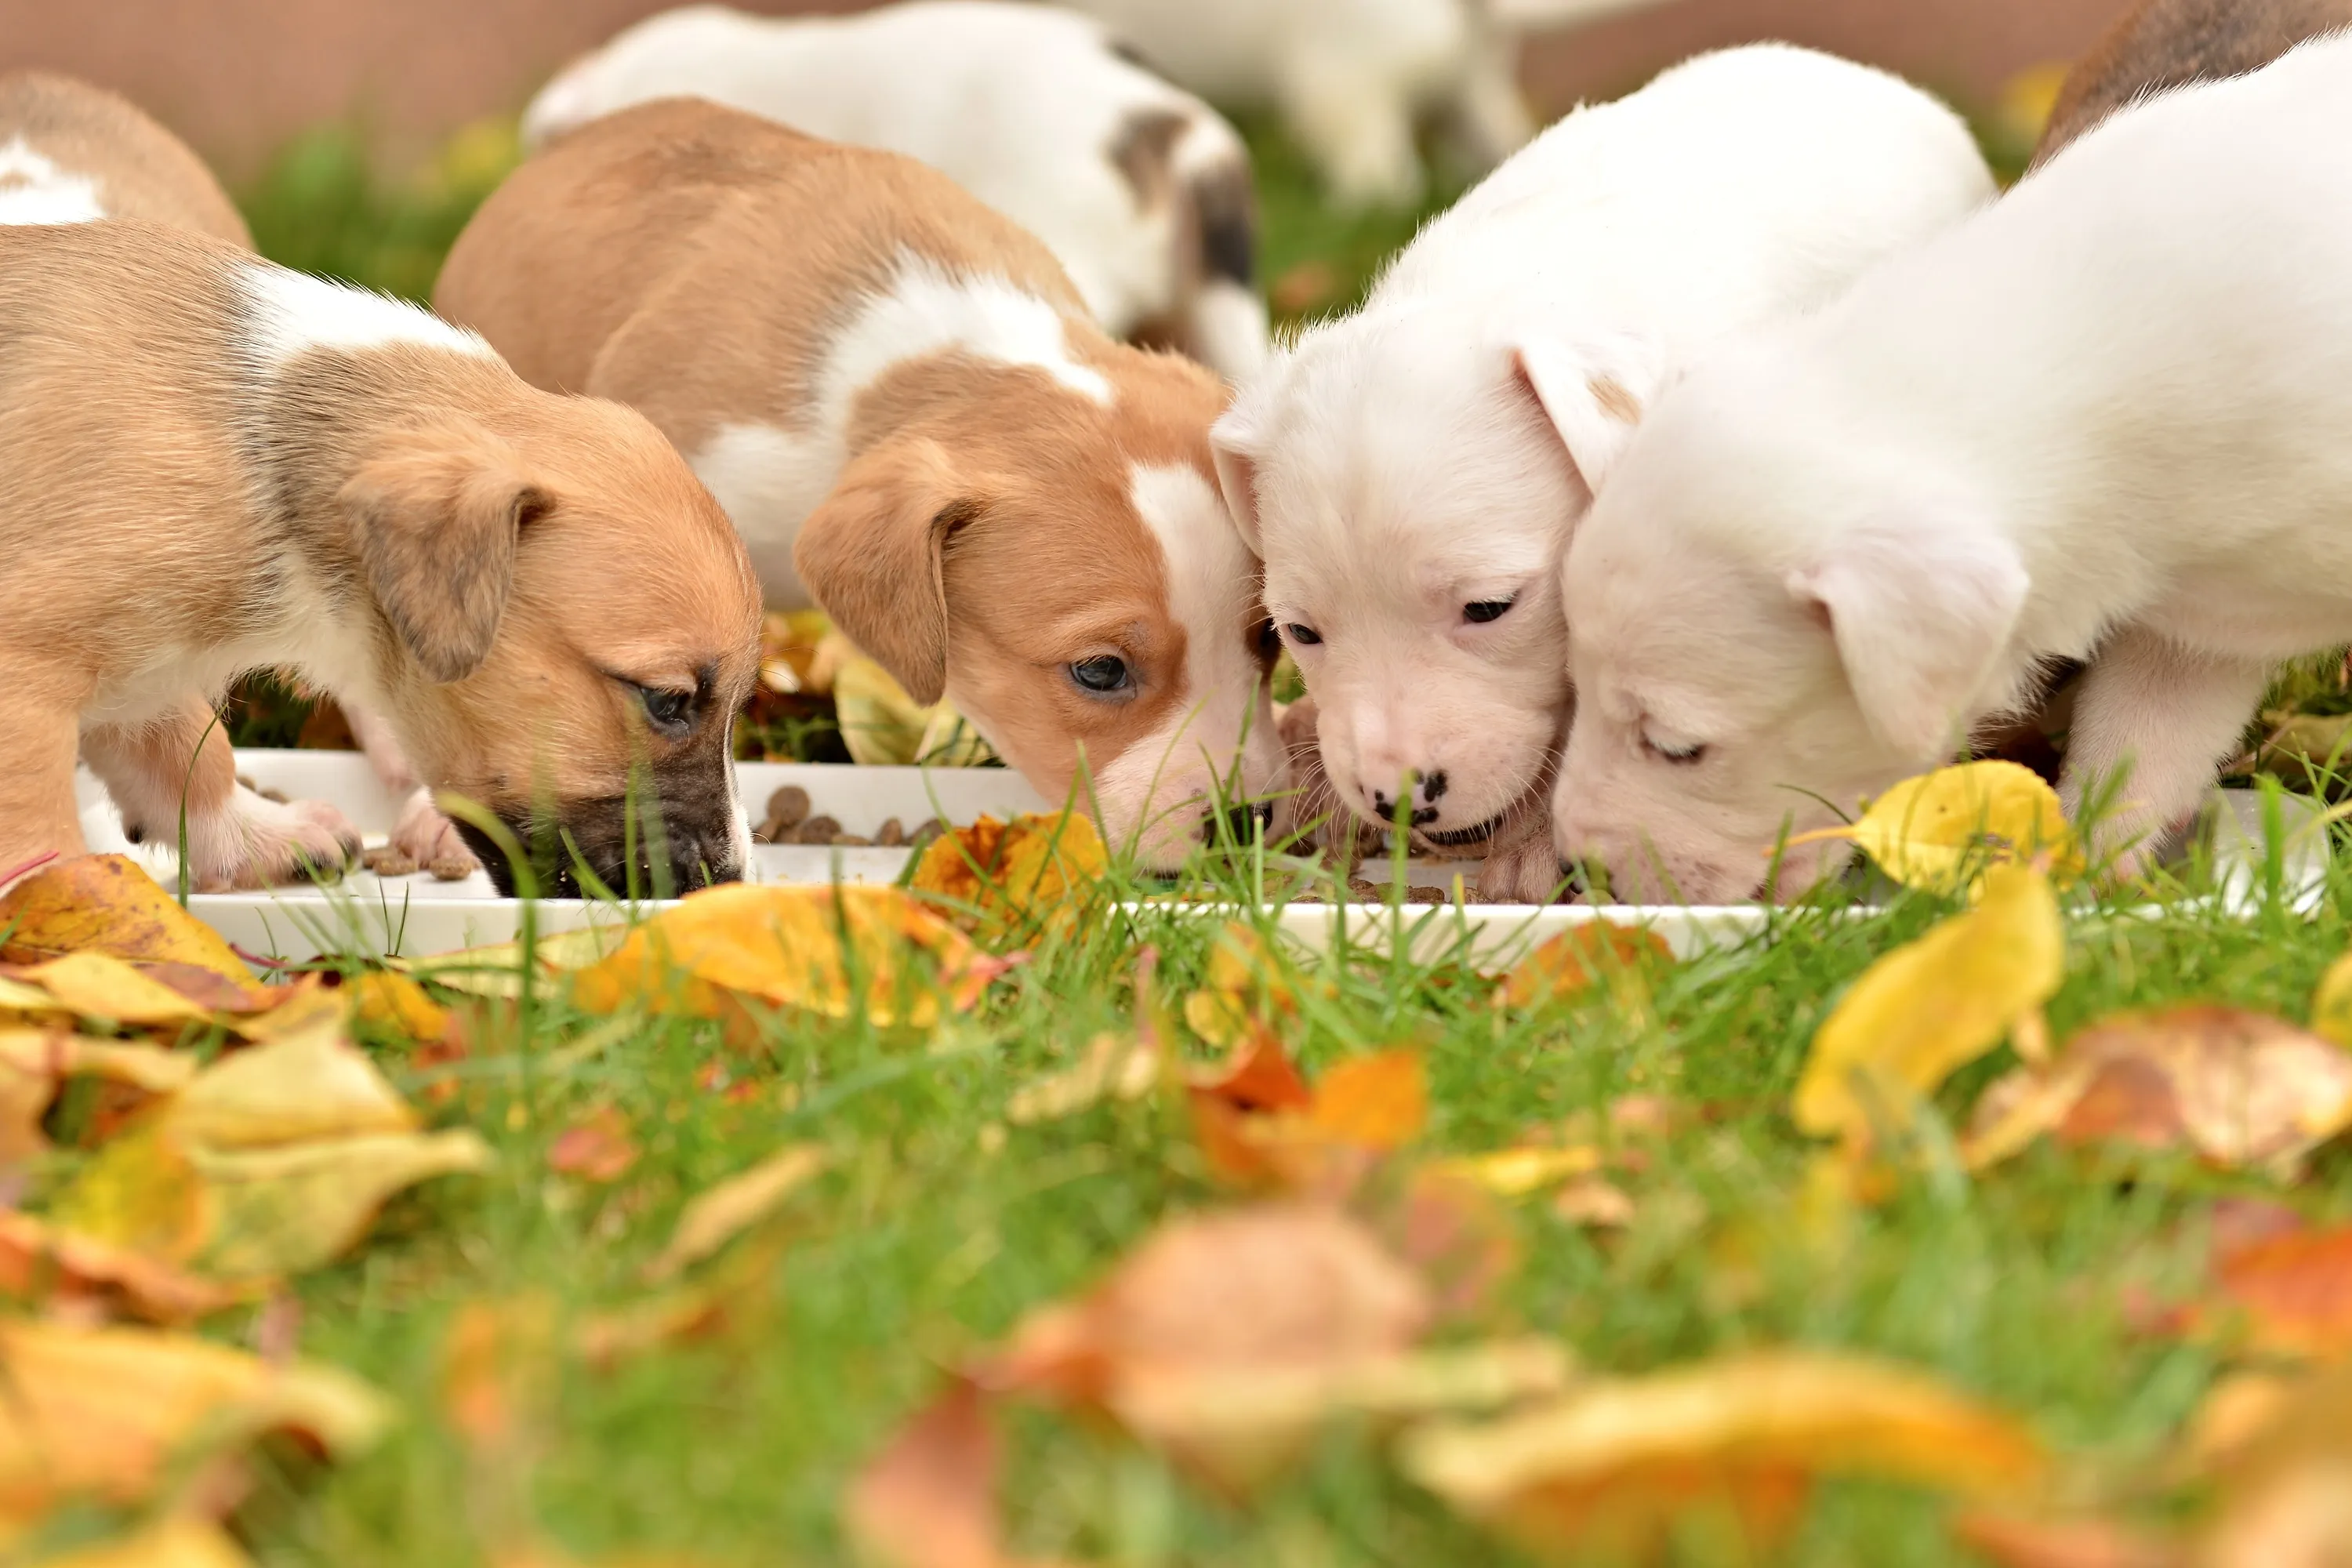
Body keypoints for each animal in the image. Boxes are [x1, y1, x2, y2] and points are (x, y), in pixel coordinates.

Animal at [0, 227, 762, 902]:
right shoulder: (29, 661)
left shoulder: (149, 665)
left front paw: (256, 837)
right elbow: (43, 840)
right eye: (666, 701)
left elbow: (186, 753)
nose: (725, 882)